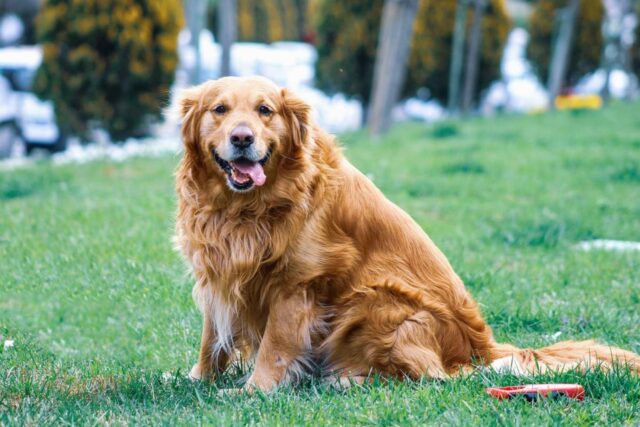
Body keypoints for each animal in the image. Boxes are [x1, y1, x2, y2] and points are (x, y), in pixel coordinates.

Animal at [172, 76, 636, 392]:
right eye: (219, 110)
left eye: (265, 110)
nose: (242, 137)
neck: (246, 209)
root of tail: (481, 347)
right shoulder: (218, 274)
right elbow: (211, 339)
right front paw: (196, 379)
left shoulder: (297, 285)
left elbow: (276, 347)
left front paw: (255, 391)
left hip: (377, 298)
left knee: (432, 377)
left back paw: (348, 380)